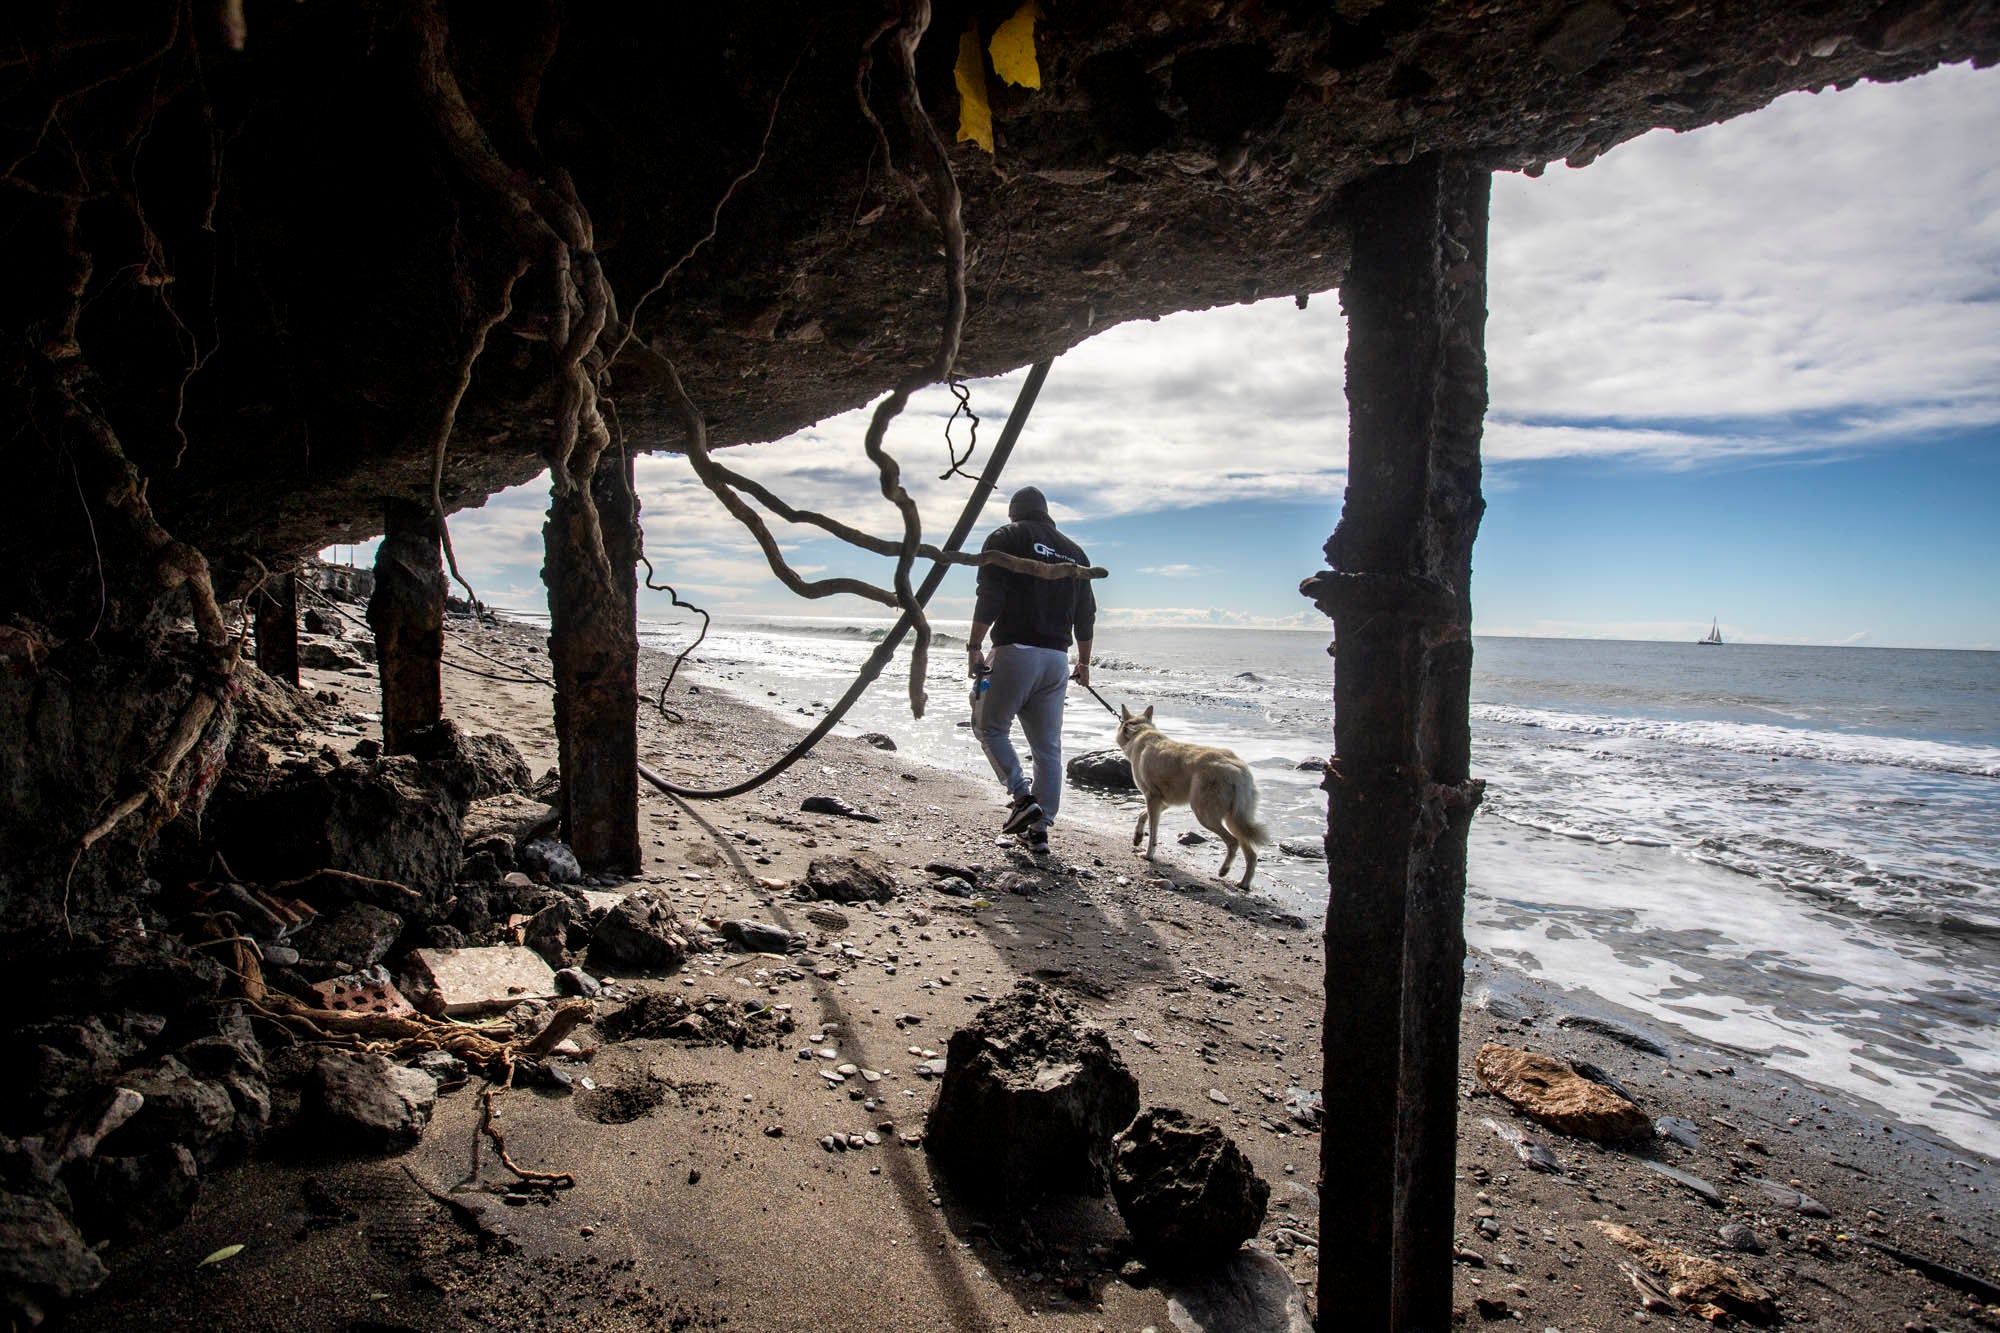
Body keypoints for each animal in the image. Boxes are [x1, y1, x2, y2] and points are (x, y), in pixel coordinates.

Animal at [1120, 700, 1272, 888]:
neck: (1140, 731)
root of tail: (1238, 771)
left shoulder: (1153, 798)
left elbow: (1153, 832)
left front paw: (1148, 855)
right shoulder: (1162, 802)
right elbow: (1142, 815)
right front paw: (1137, 837)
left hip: (1205, 814)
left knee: (1233, 842)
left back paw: (1224, 870)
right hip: (1234, 820)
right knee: (1251, 854)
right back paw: (1243, 883)